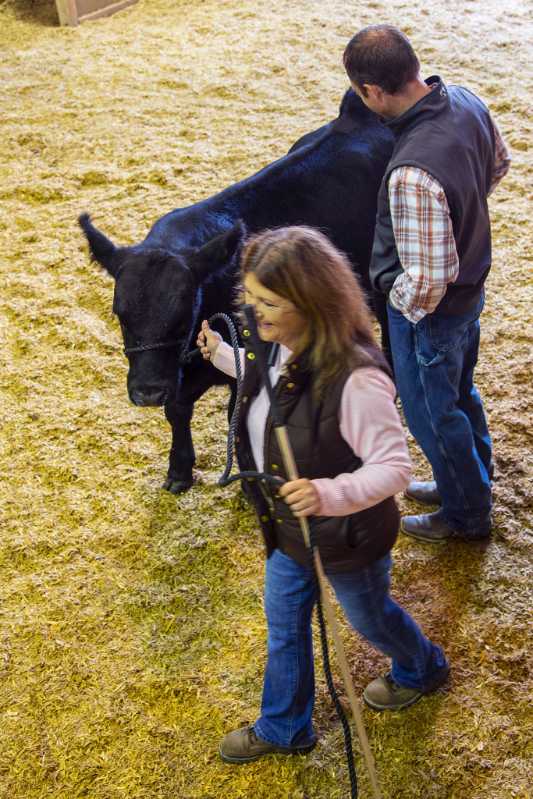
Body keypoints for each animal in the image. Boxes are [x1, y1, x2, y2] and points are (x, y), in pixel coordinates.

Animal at [80, 92, 394, 494]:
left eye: (182, 316)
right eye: (120, 314)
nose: (148, 391)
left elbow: (238, 412)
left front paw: (249, 482)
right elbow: (177, 410)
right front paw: (179, 470)